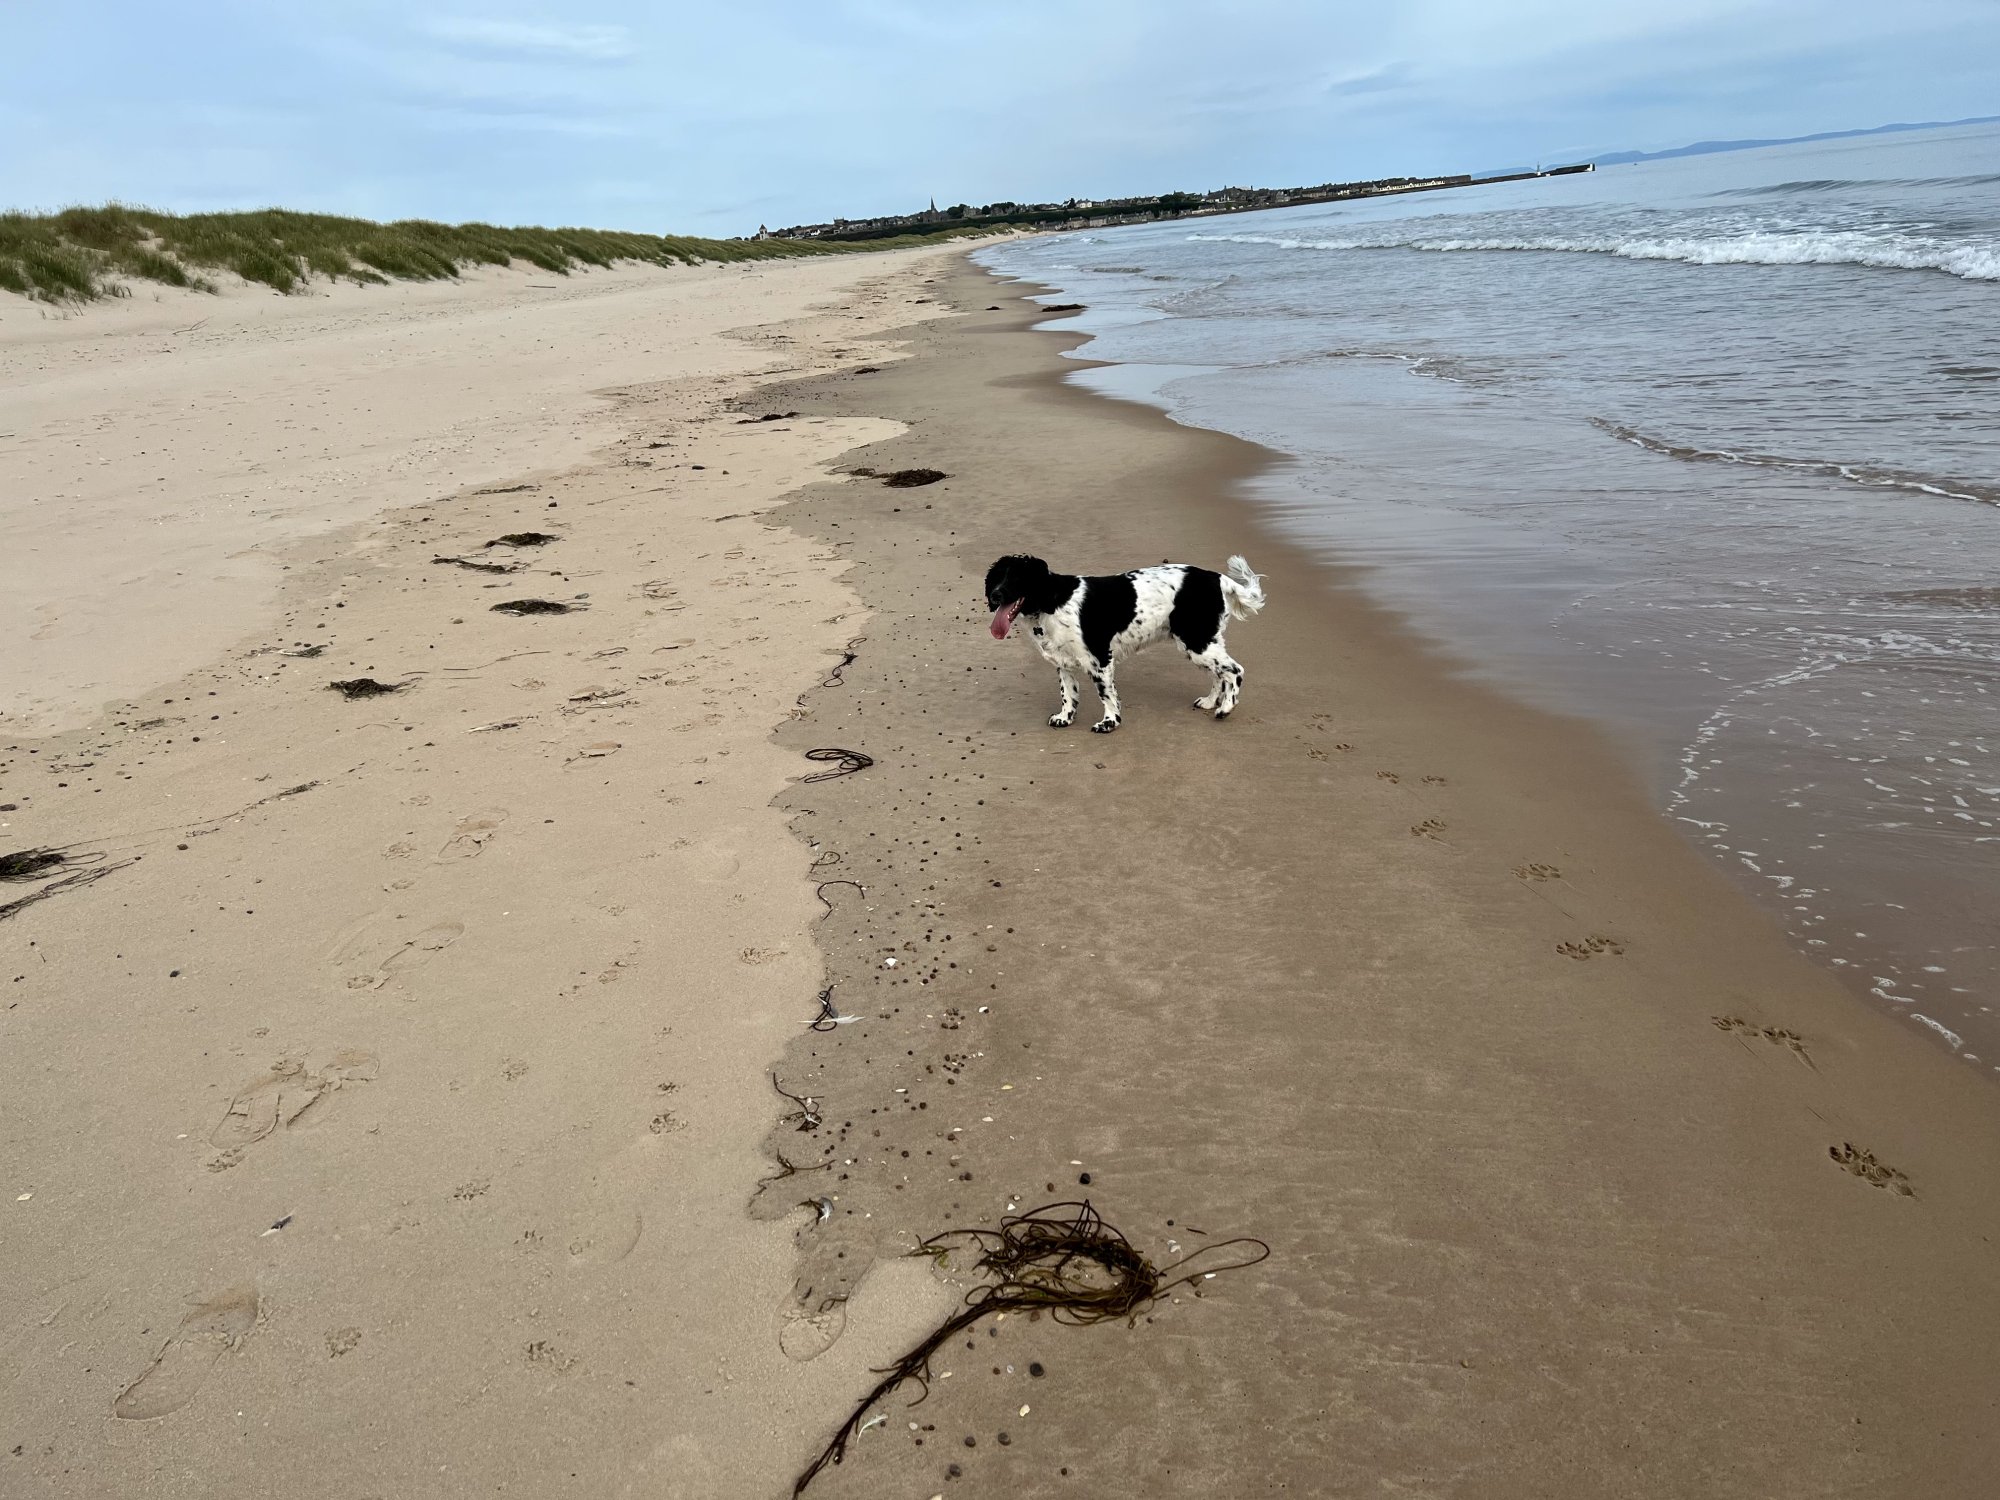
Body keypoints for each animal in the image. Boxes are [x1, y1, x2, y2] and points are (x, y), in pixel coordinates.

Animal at [984, 554, 1266, 732]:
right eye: (997, 578)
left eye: (1017, 578)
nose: (995, 595)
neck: (1051, 600)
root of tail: (1218, 578)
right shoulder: (1063, 662)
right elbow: (1068, 694)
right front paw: (1065, 718)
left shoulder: (1099, 659)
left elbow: (1106, 695)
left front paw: (1109, 722)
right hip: (1199, 642)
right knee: (1219, 673)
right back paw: (1210, 702)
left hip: (1197, 641)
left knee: (1235, 670)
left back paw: (1225, 708)